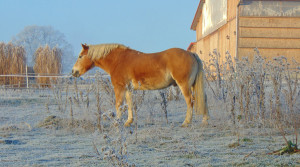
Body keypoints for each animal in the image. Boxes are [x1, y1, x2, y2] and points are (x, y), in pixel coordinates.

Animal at [72, 43, 209, 126]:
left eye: (80, 56)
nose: (73, 72)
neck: (117, 60)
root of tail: (191, 54)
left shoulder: (119, 87)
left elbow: (118, 104)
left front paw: (117, 122)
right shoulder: (128, 89)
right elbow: (129, 104)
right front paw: (128, 122)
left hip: (184, 85)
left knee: (190, 101)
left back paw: (186, 122)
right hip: (193, 85)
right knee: (202, 98)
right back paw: (205, 120)